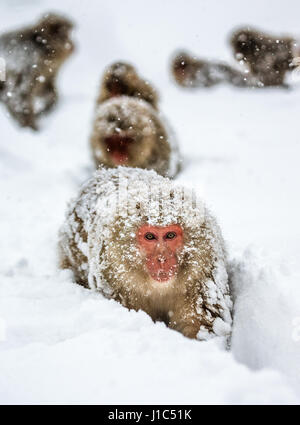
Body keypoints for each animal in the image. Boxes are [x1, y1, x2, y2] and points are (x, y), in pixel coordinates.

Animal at [58, 167, 232, 340]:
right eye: (150, 236)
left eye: (170, 235)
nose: (162, 259)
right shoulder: (113, 276)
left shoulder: (203, 273)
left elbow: (205, 328)